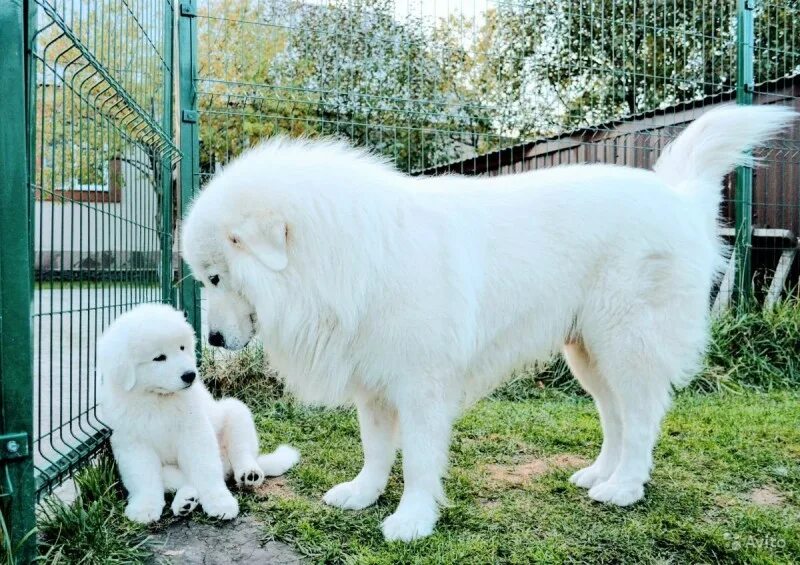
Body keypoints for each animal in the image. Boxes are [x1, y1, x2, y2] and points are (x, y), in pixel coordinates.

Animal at [97, 304, 300, 524]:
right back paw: (185, 501)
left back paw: (249, 473)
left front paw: (220, 502)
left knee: (241, 452)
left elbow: (206, 470)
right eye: (159, 358)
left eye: (182, 348)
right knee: (183, 480)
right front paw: (144, 507)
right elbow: (143, 478)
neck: (158, 398)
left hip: (236, 413)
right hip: (168, 470)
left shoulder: (194, 432)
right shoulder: (133, 444)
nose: (190, 375)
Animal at [180, 103, 792, 540]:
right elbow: (376, 449)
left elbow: (418, 458)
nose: (211, 339)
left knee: (641, 417)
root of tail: (677, 198)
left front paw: (412, 520)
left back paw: (624, 488)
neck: (347, 254)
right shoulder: (374, 383)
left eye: (214, 278)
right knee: (615, 416)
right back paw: (600, 475)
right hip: (588, 353)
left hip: (626, 343)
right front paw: (363, 494)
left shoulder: (421, 387)